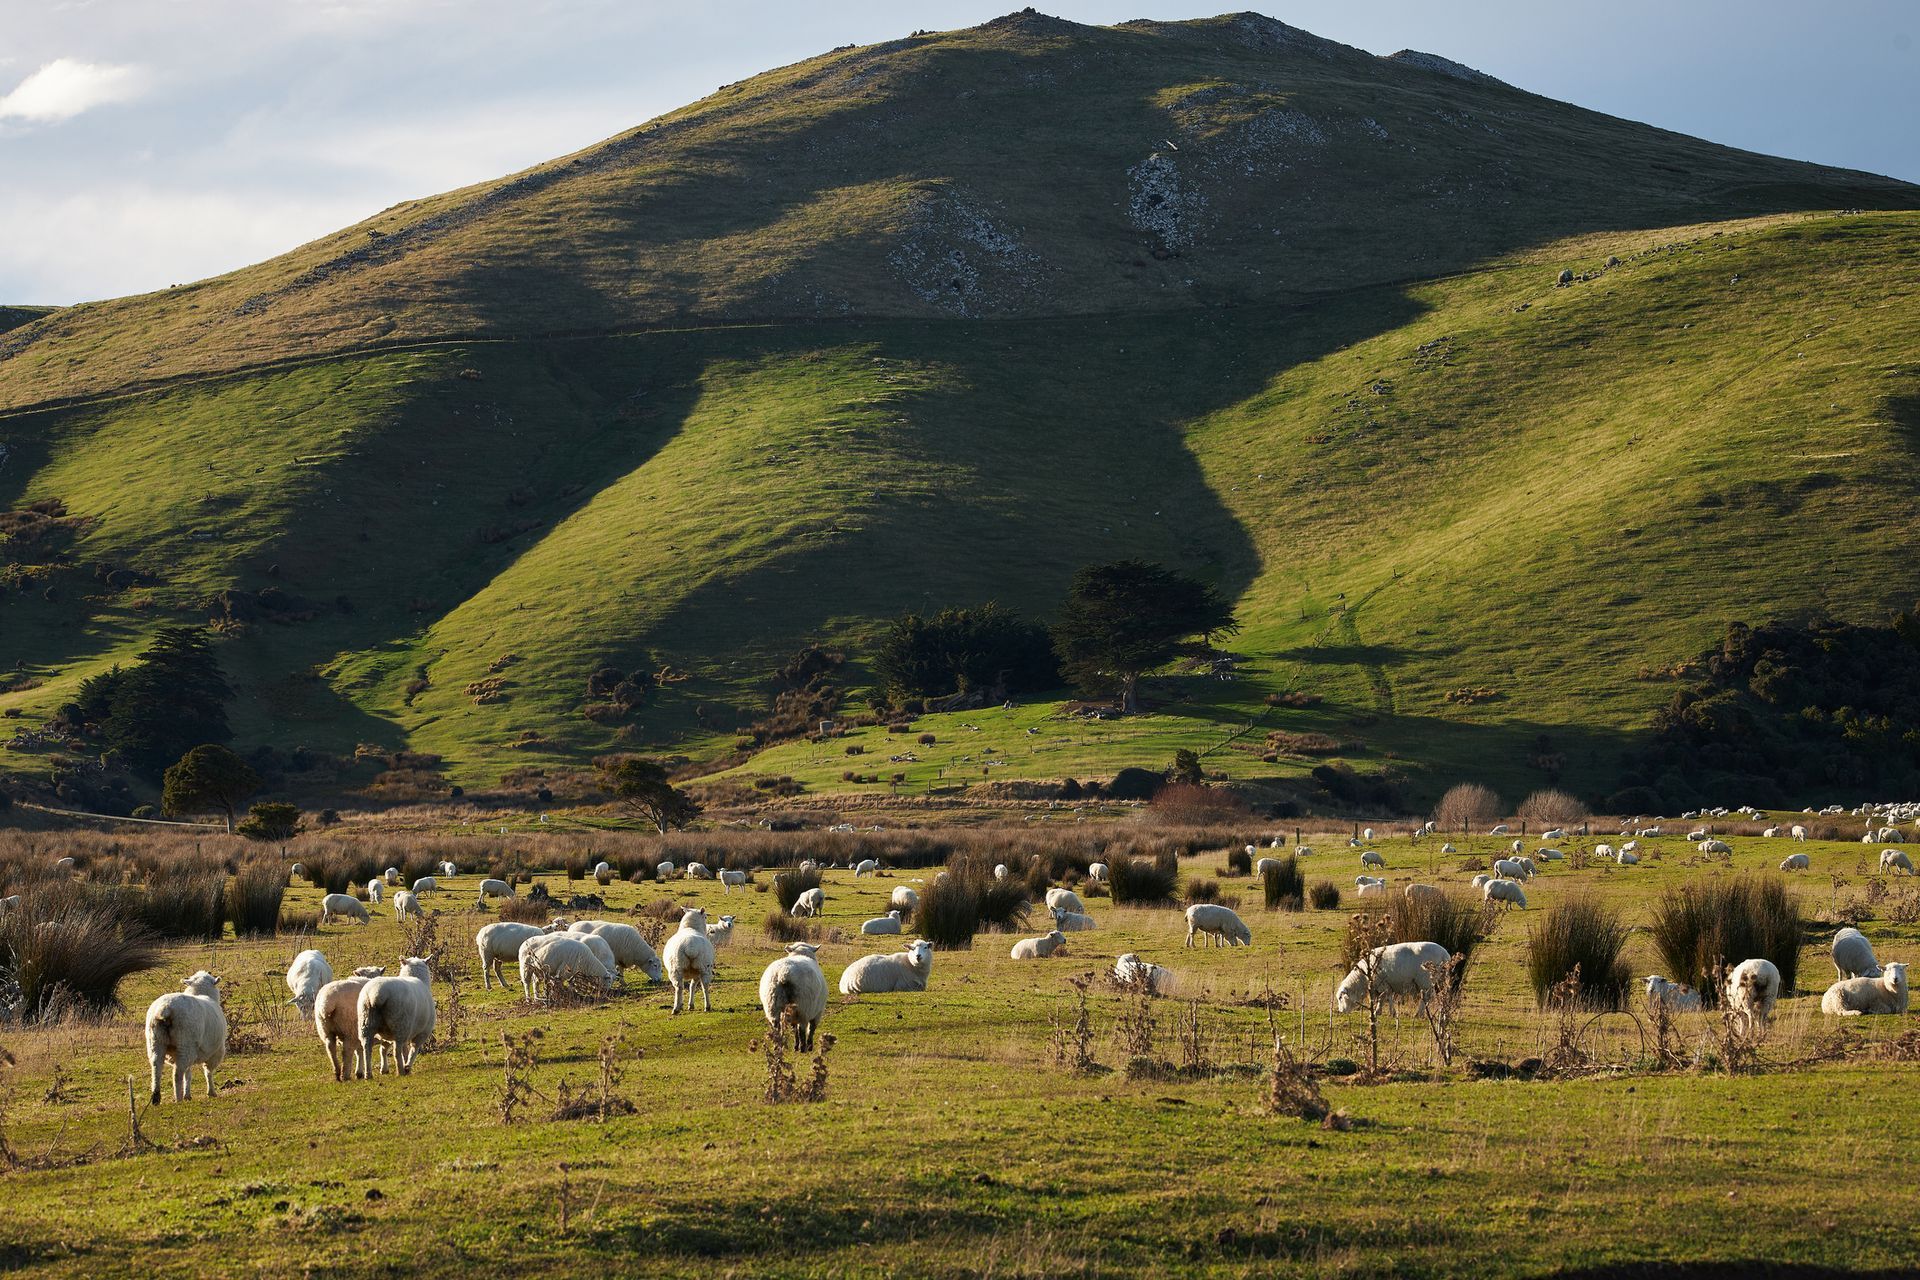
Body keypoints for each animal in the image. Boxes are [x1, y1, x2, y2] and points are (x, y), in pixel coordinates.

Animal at [144, 971, 226, 1103]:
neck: (202, 993)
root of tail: (166, 1008)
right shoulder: (215, 1051)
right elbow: (208, 1072)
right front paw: (211, 1092)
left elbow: (188, 1073)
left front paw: (188, 1094)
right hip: (185, 1043)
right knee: (177, 1074)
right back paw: (178, 1099)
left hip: (156, 1041)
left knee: (156, 1068)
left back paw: (156, 1097)